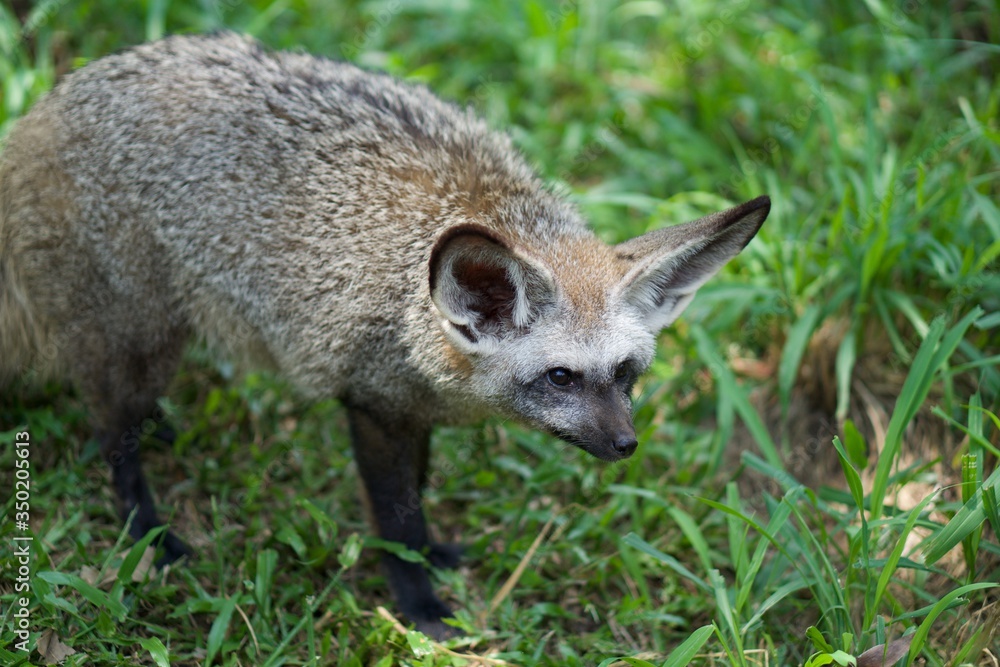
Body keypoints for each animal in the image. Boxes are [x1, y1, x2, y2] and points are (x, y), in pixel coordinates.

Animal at [0, 33, 769, 637]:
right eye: (561, 377)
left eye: (628, 373)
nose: (625, 445)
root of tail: (41, 115)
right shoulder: (370, 404)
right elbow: (397, 517)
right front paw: (418, 602)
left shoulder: (411, 409)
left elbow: (419, 495)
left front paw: (432, 557)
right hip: (142, 342)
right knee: (111, 434)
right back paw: (148, 531)